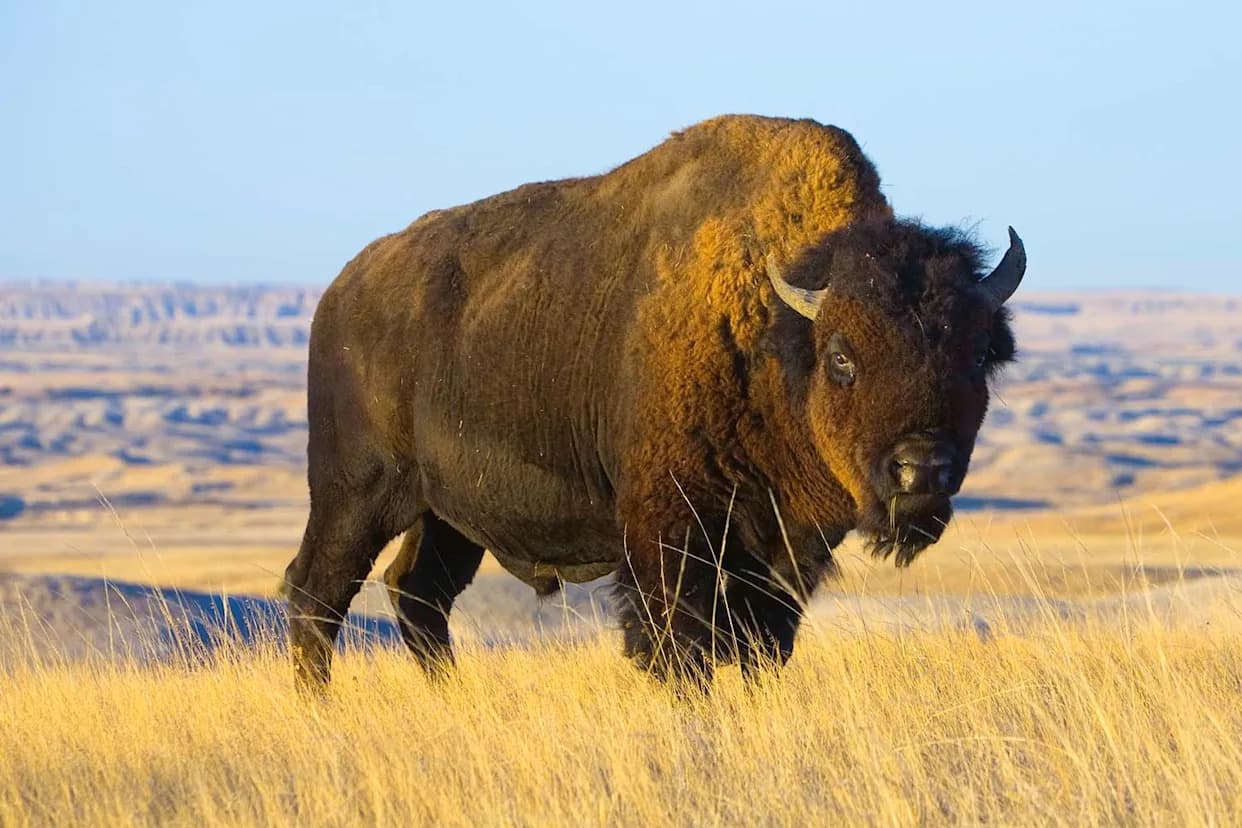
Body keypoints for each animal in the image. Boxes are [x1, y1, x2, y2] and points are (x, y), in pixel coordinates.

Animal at [281, 115, 1026, 687]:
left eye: (976, 355)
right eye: (843, 356)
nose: (920, 469)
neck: (776, 332)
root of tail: (340, 291)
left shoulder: (780, 553)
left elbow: (761, 646)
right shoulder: (669, 528)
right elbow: (675, 644)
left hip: (446, 515)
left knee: (418, 594)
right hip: (357, 492)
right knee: (317, 591)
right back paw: (321, 708)